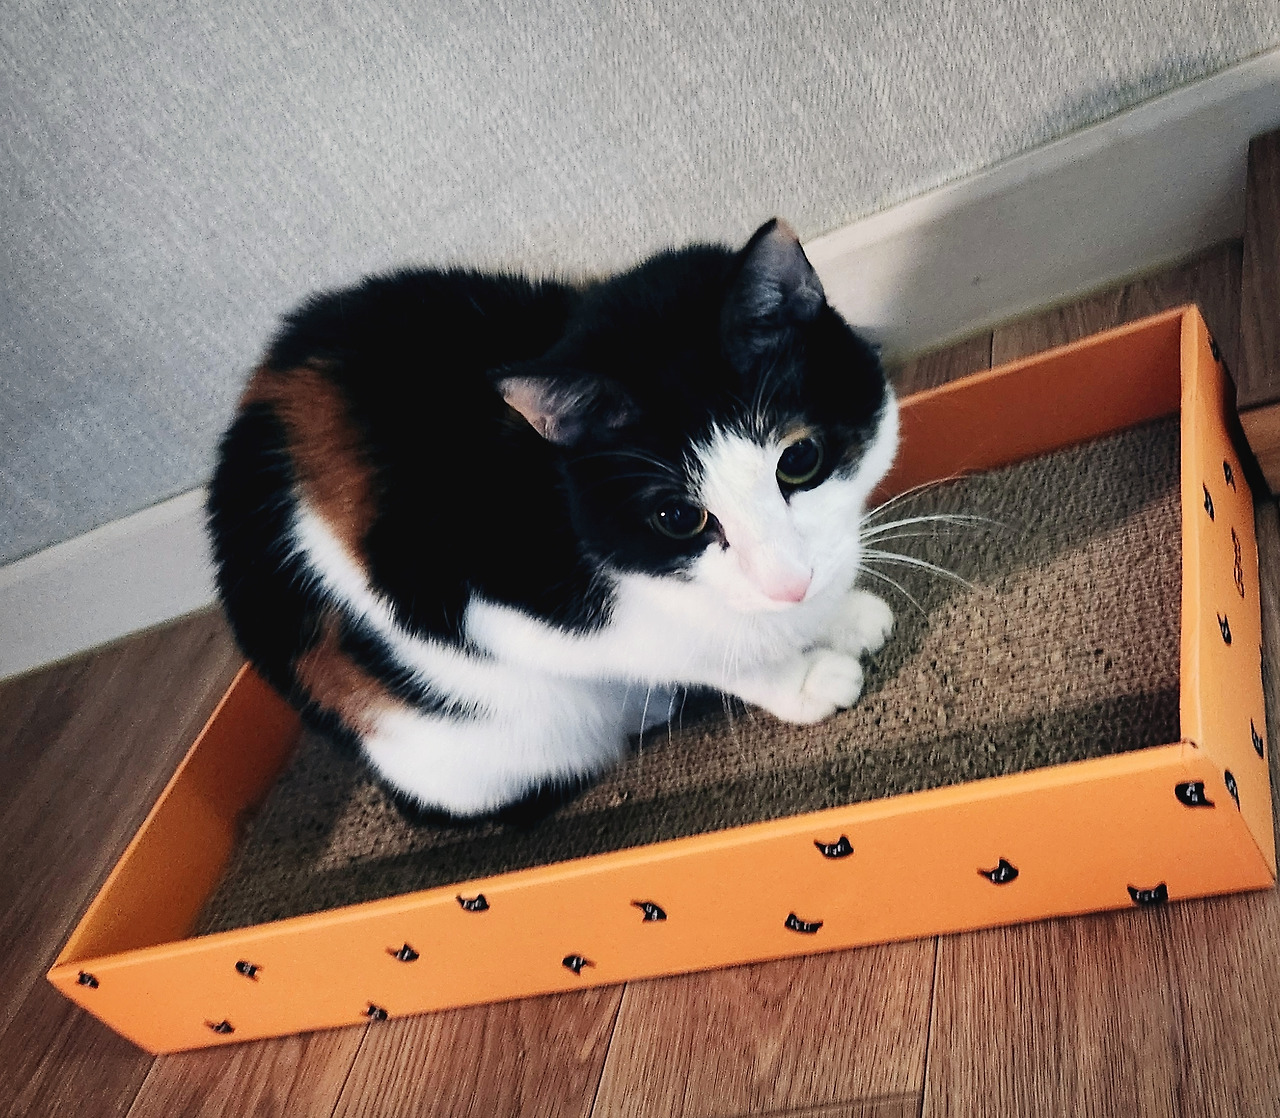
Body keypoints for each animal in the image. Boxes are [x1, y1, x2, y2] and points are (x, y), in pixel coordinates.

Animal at [206, 218, 898, 823]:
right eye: (678, 517)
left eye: (800, 459)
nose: (790, 585)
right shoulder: (493, 607)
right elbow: (697, 650)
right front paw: (800, 676)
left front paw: (836, 615)